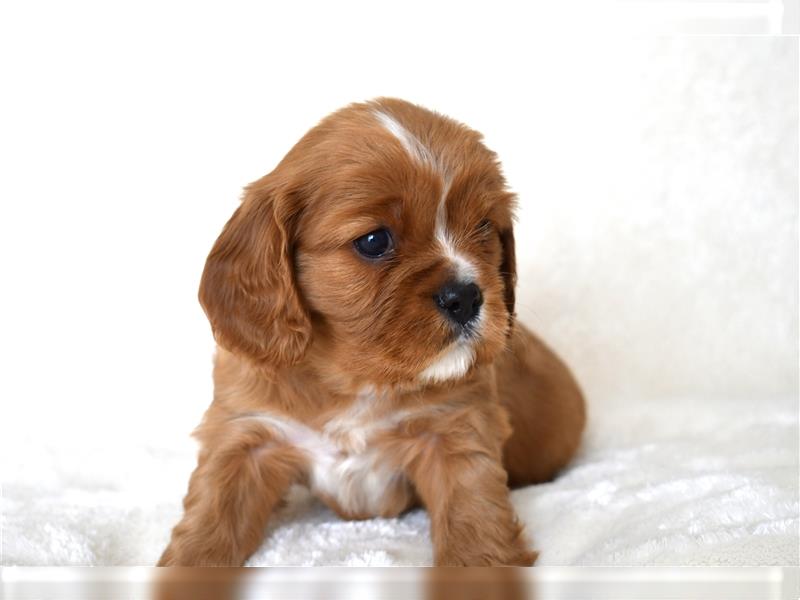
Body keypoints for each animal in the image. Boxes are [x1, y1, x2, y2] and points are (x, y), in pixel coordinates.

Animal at [159, 98, 584, 568]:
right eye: (374, 241)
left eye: (485, 227)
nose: (466, 296)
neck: (356, 378)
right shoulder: (246, 437)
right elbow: (207, 526)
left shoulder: (457, 429)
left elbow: (476, 526)